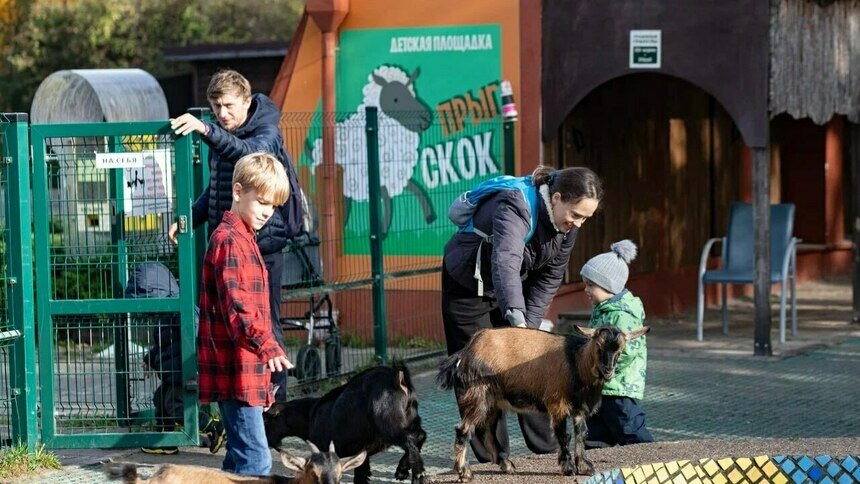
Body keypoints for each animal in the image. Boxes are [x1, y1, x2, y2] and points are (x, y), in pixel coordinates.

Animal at [310, 65, 436, 236]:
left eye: (412, 93)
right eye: (395, 99)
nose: (426, 119)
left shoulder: (394, 176)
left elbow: (415, 189)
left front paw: (429, 215)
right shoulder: (381, 178)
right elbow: (387, 202)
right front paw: (382, 230)